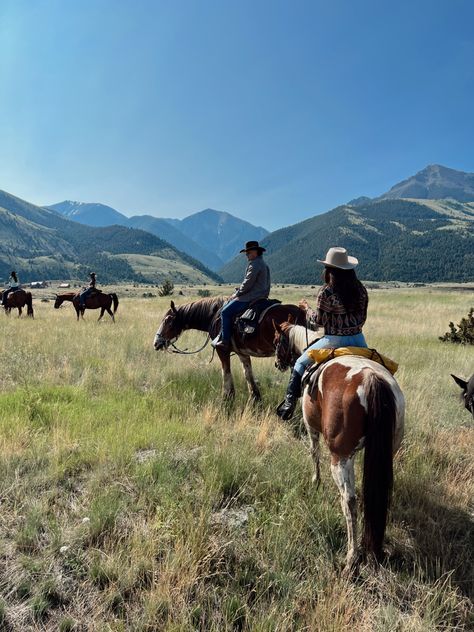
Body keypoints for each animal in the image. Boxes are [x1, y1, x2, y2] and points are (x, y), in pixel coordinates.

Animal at [154, 298, 306, 400]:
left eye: (168, 321)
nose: (156, 343)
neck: (215, 316)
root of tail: (302, 312)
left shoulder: (222, 350)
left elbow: (226, 373)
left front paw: (227, 399)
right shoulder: (242, 353)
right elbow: (248, 374)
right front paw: (255, 398)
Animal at [274, 324, 404, 572]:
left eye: (277, 341)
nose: (278, 364)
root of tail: (371, 379)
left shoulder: (310, 425)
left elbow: (314, 452)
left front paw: (315, 481)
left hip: (340, 458)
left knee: (349, 501)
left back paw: (352, 557)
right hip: (388, 450)